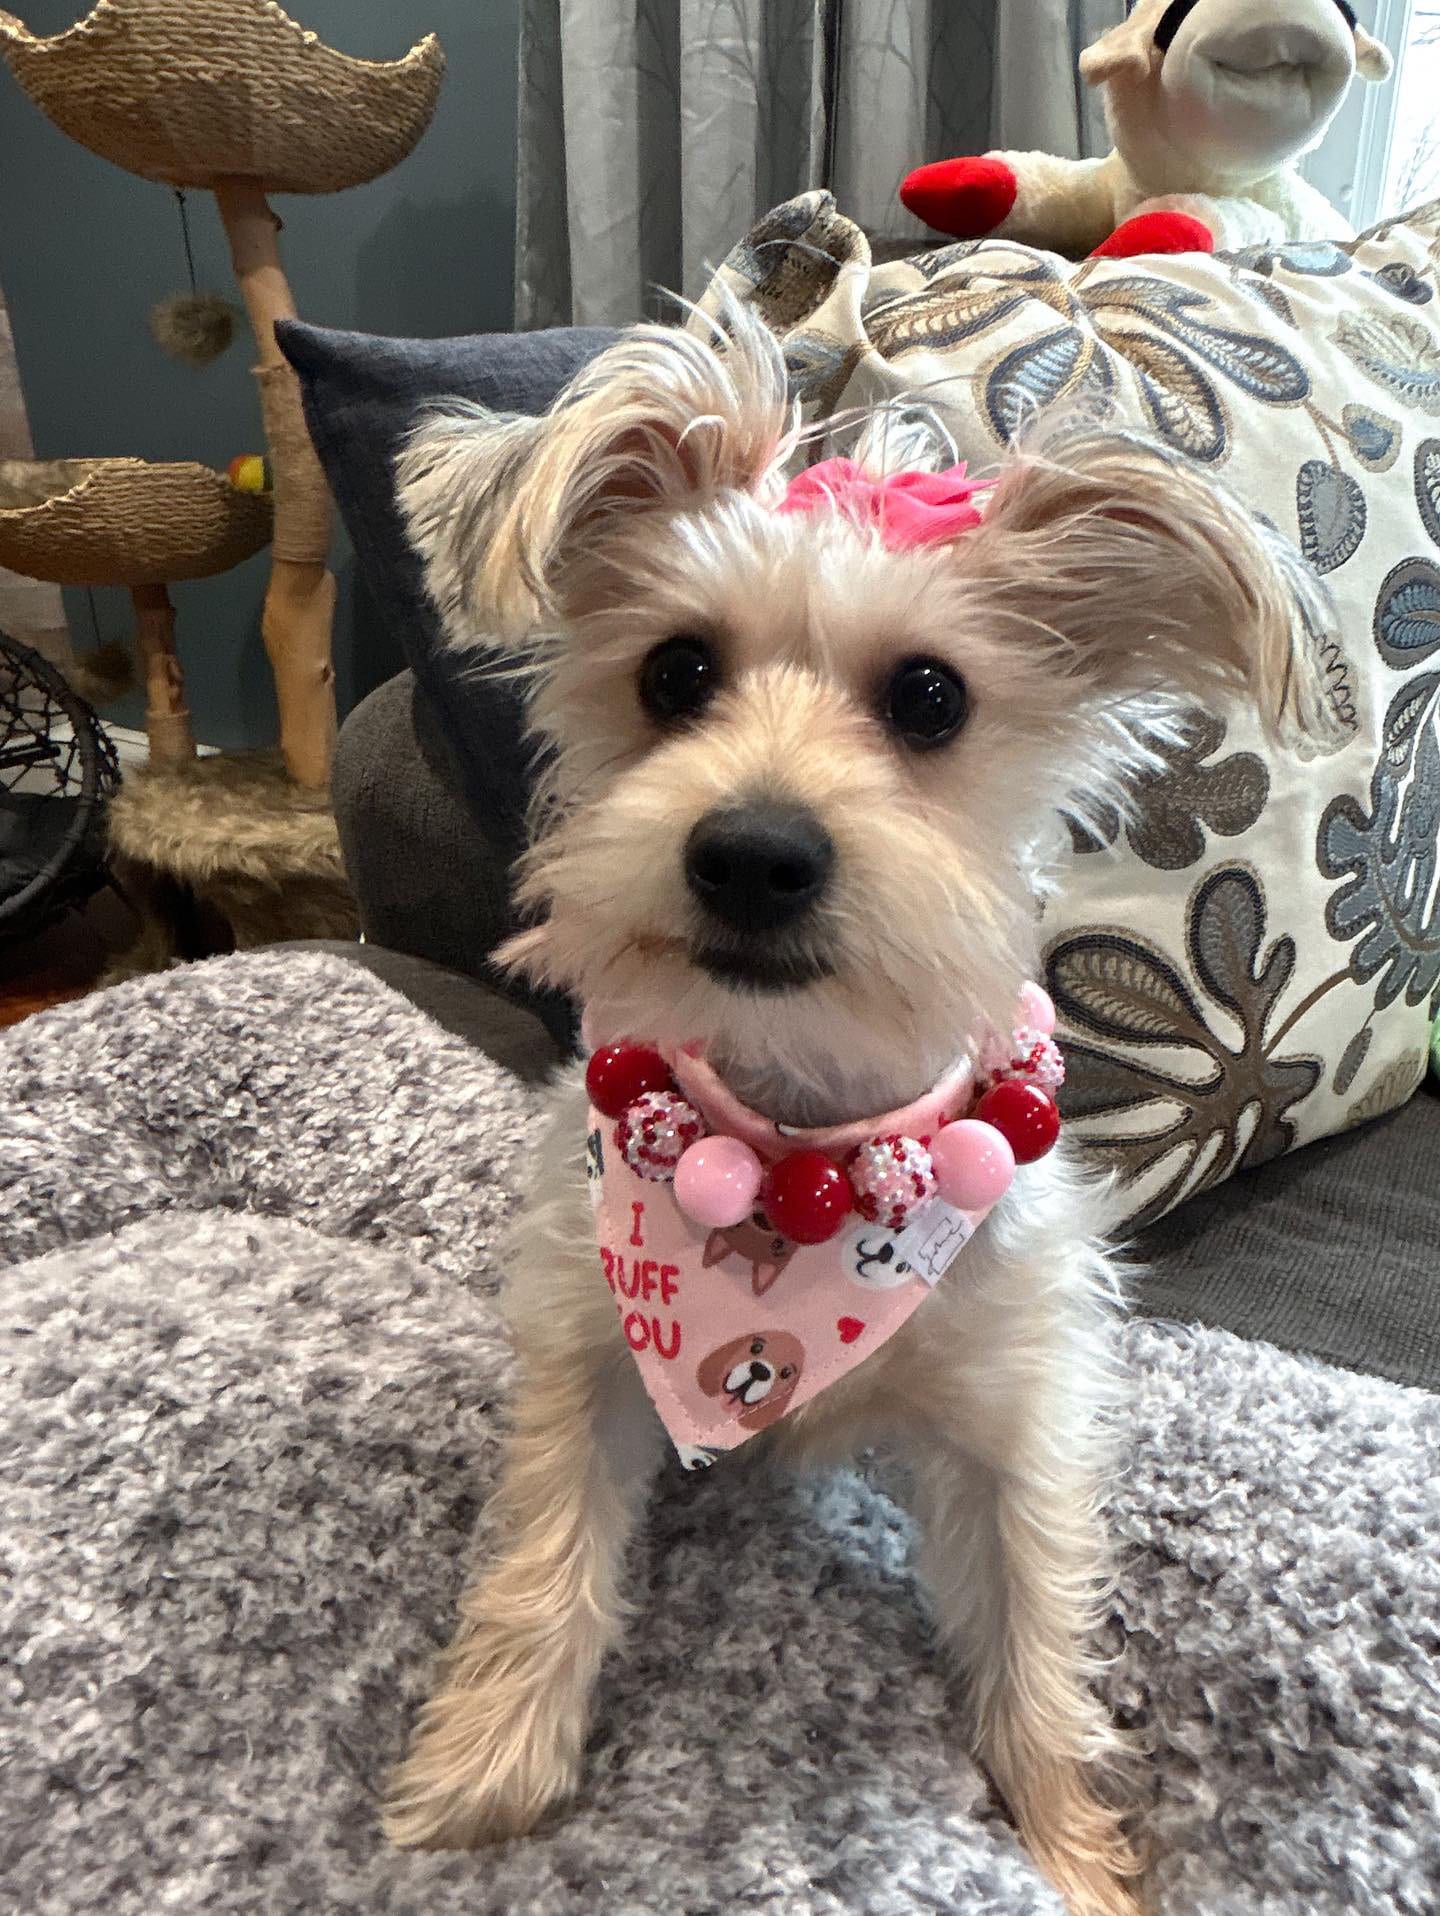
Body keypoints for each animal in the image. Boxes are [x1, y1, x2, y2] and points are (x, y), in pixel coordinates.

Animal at [379, 310, 1325, 1916]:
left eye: (931, 695)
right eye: (676, 671)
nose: (754, 851)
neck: (796, 1140)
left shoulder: (1017, 1407)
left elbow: (1036, 1636)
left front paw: (1072, 1857)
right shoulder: (587, 1345)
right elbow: (545, 1550)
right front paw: (482, 1776)